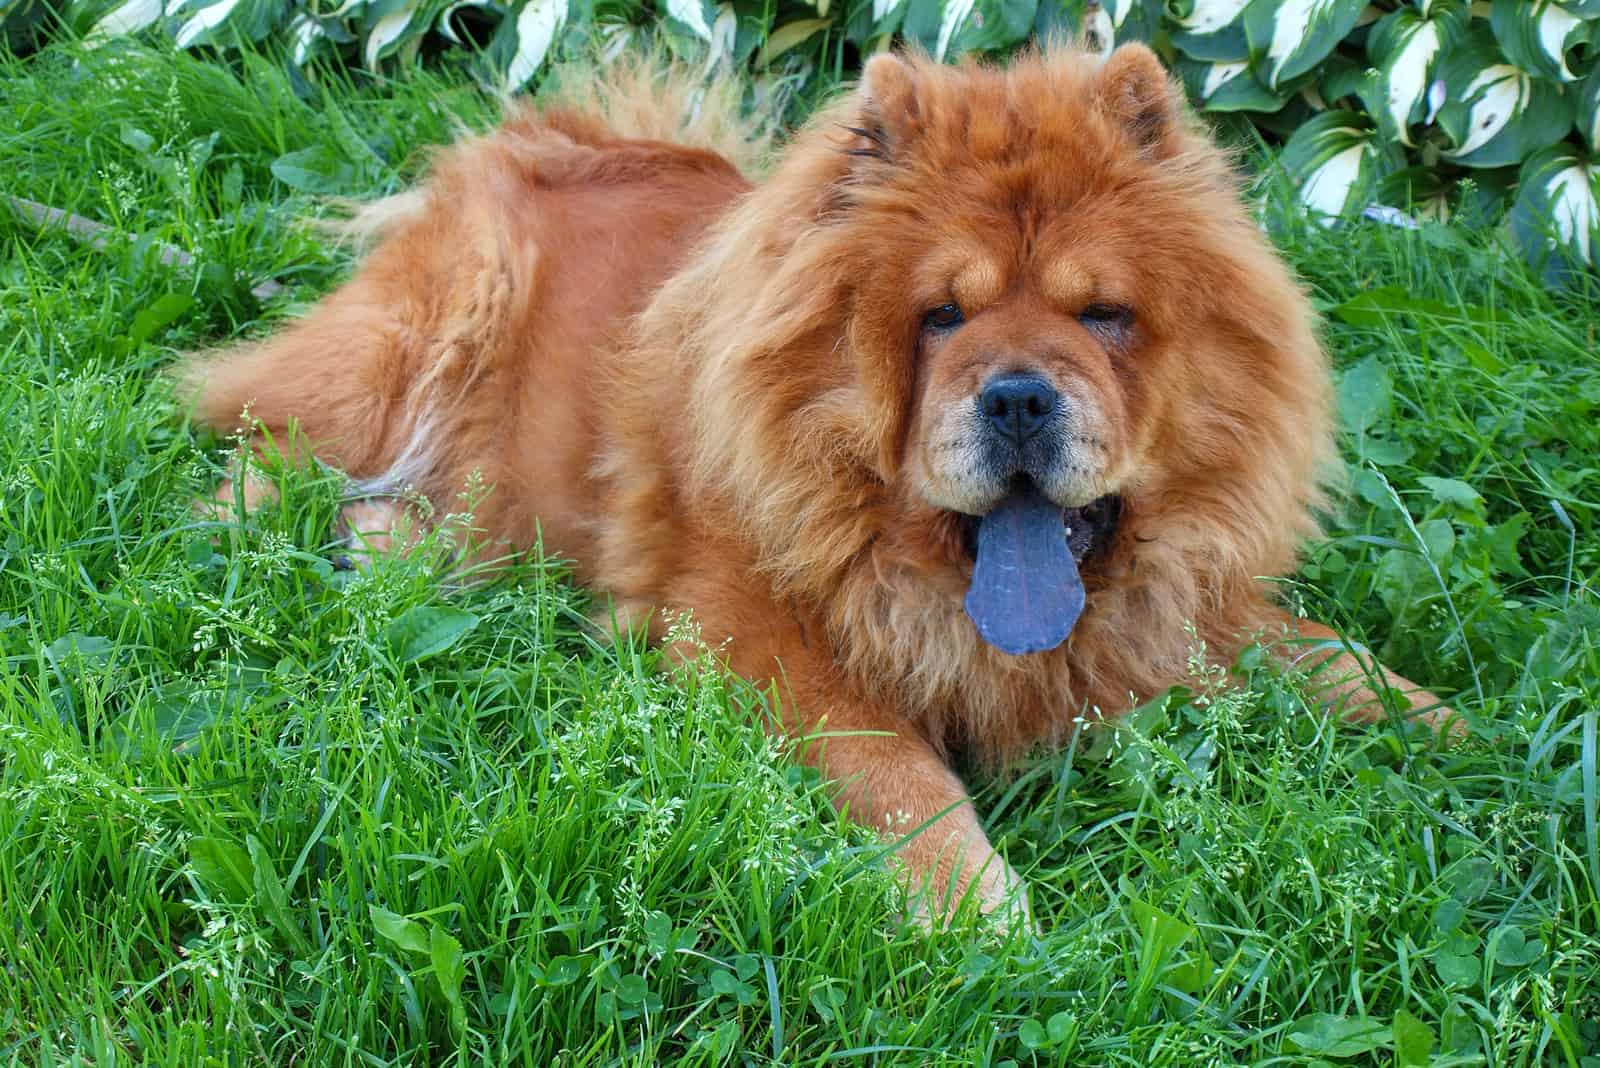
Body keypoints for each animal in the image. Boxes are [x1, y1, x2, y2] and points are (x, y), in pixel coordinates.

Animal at [181, 41, 1459, 920]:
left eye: (1103, 316)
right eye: (940, 317)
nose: (1018, 398)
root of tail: (548, 137)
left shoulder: (1195, 604)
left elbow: (1326, 654)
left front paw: (1458, 729)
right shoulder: (749, 631)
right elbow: (899, 772)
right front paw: (981, 910)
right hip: (420, 343)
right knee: (257, 434)